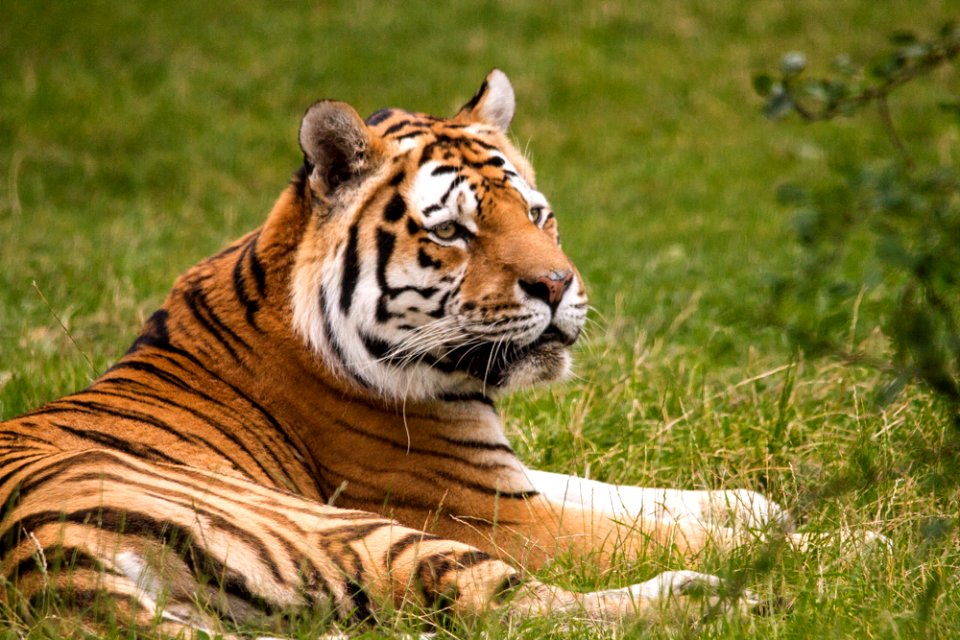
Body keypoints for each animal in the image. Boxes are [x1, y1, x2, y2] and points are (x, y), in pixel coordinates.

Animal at [0, 70, 796, 636]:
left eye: (536, 215)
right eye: (451, 232)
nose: (558, 285)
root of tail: (48, 571)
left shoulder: (504, 478)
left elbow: (624, 494)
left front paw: (754, 507)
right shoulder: (492, 515)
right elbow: (657, 534)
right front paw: (800, 539)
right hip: (352, 531)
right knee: (506, 608)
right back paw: (722, 599)